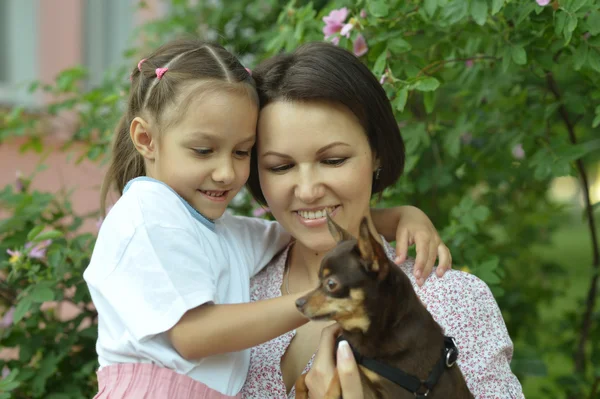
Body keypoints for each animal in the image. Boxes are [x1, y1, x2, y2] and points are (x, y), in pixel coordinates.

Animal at [292, 217, 472, 398]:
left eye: (331, 284)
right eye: (318, 280)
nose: (298, 303)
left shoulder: (390, 392)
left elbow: (336, 377)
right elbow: (303, 377)